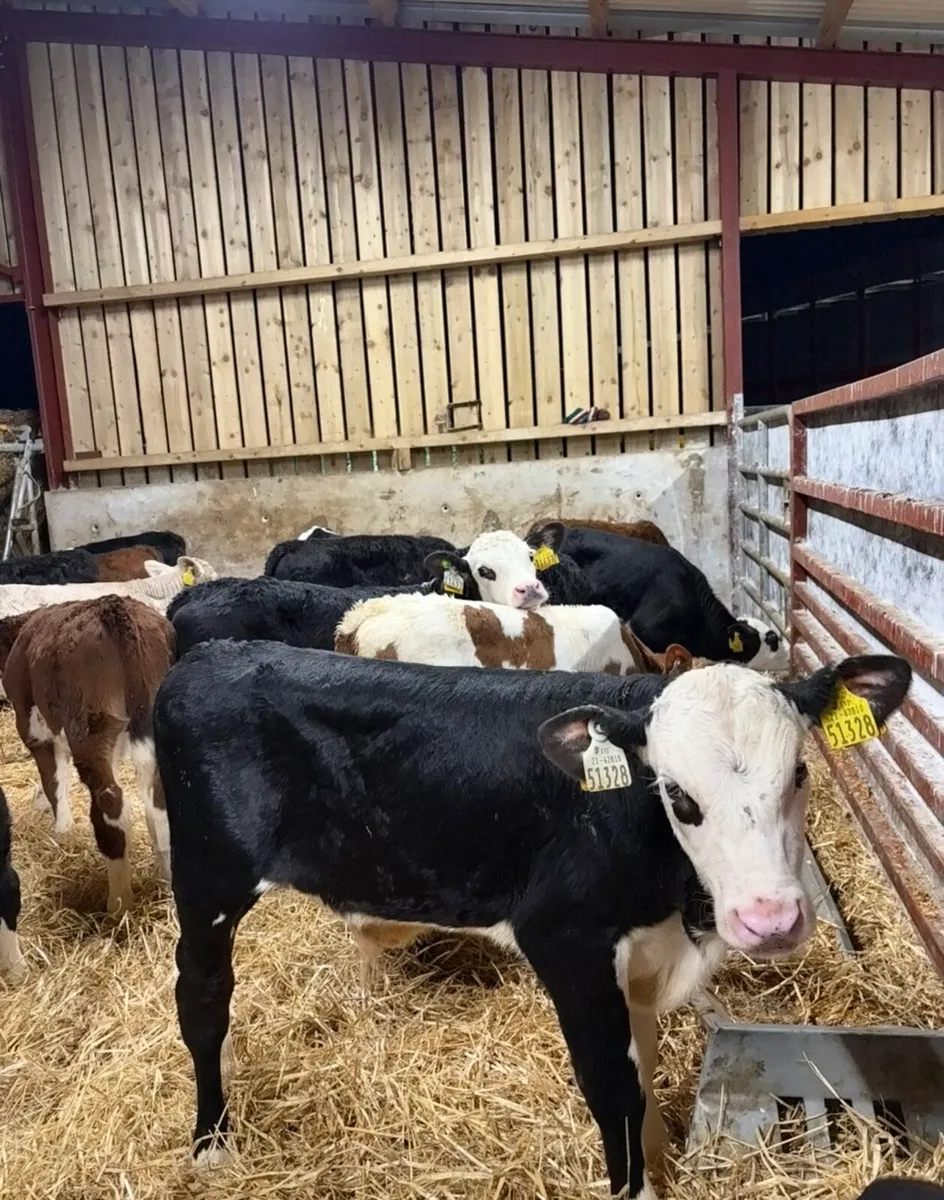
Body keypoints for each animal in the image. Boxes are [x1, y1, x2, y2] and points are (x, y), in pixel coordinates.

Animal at [0, 596, 175, 915]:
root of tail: (115, 608)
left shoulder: (31, 726)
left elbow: (54, 779)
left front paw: (63, 831)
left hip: (91, 727)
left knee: (112, 804)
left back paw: (118, 903)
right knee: (159, 804)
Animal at [154, 640, 910, 1197]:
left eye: (801, 774)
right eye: (677, 795)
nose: (770, 919)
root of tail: (213, 653)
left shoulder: (639, 955)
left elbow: (644, 1071)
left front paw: (662, 1165)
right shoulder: (565, 941)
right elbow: (614, 1090)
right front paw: (637, 1185)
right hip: (208, 878)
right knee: (202, 1001)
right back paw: (211, 1145)